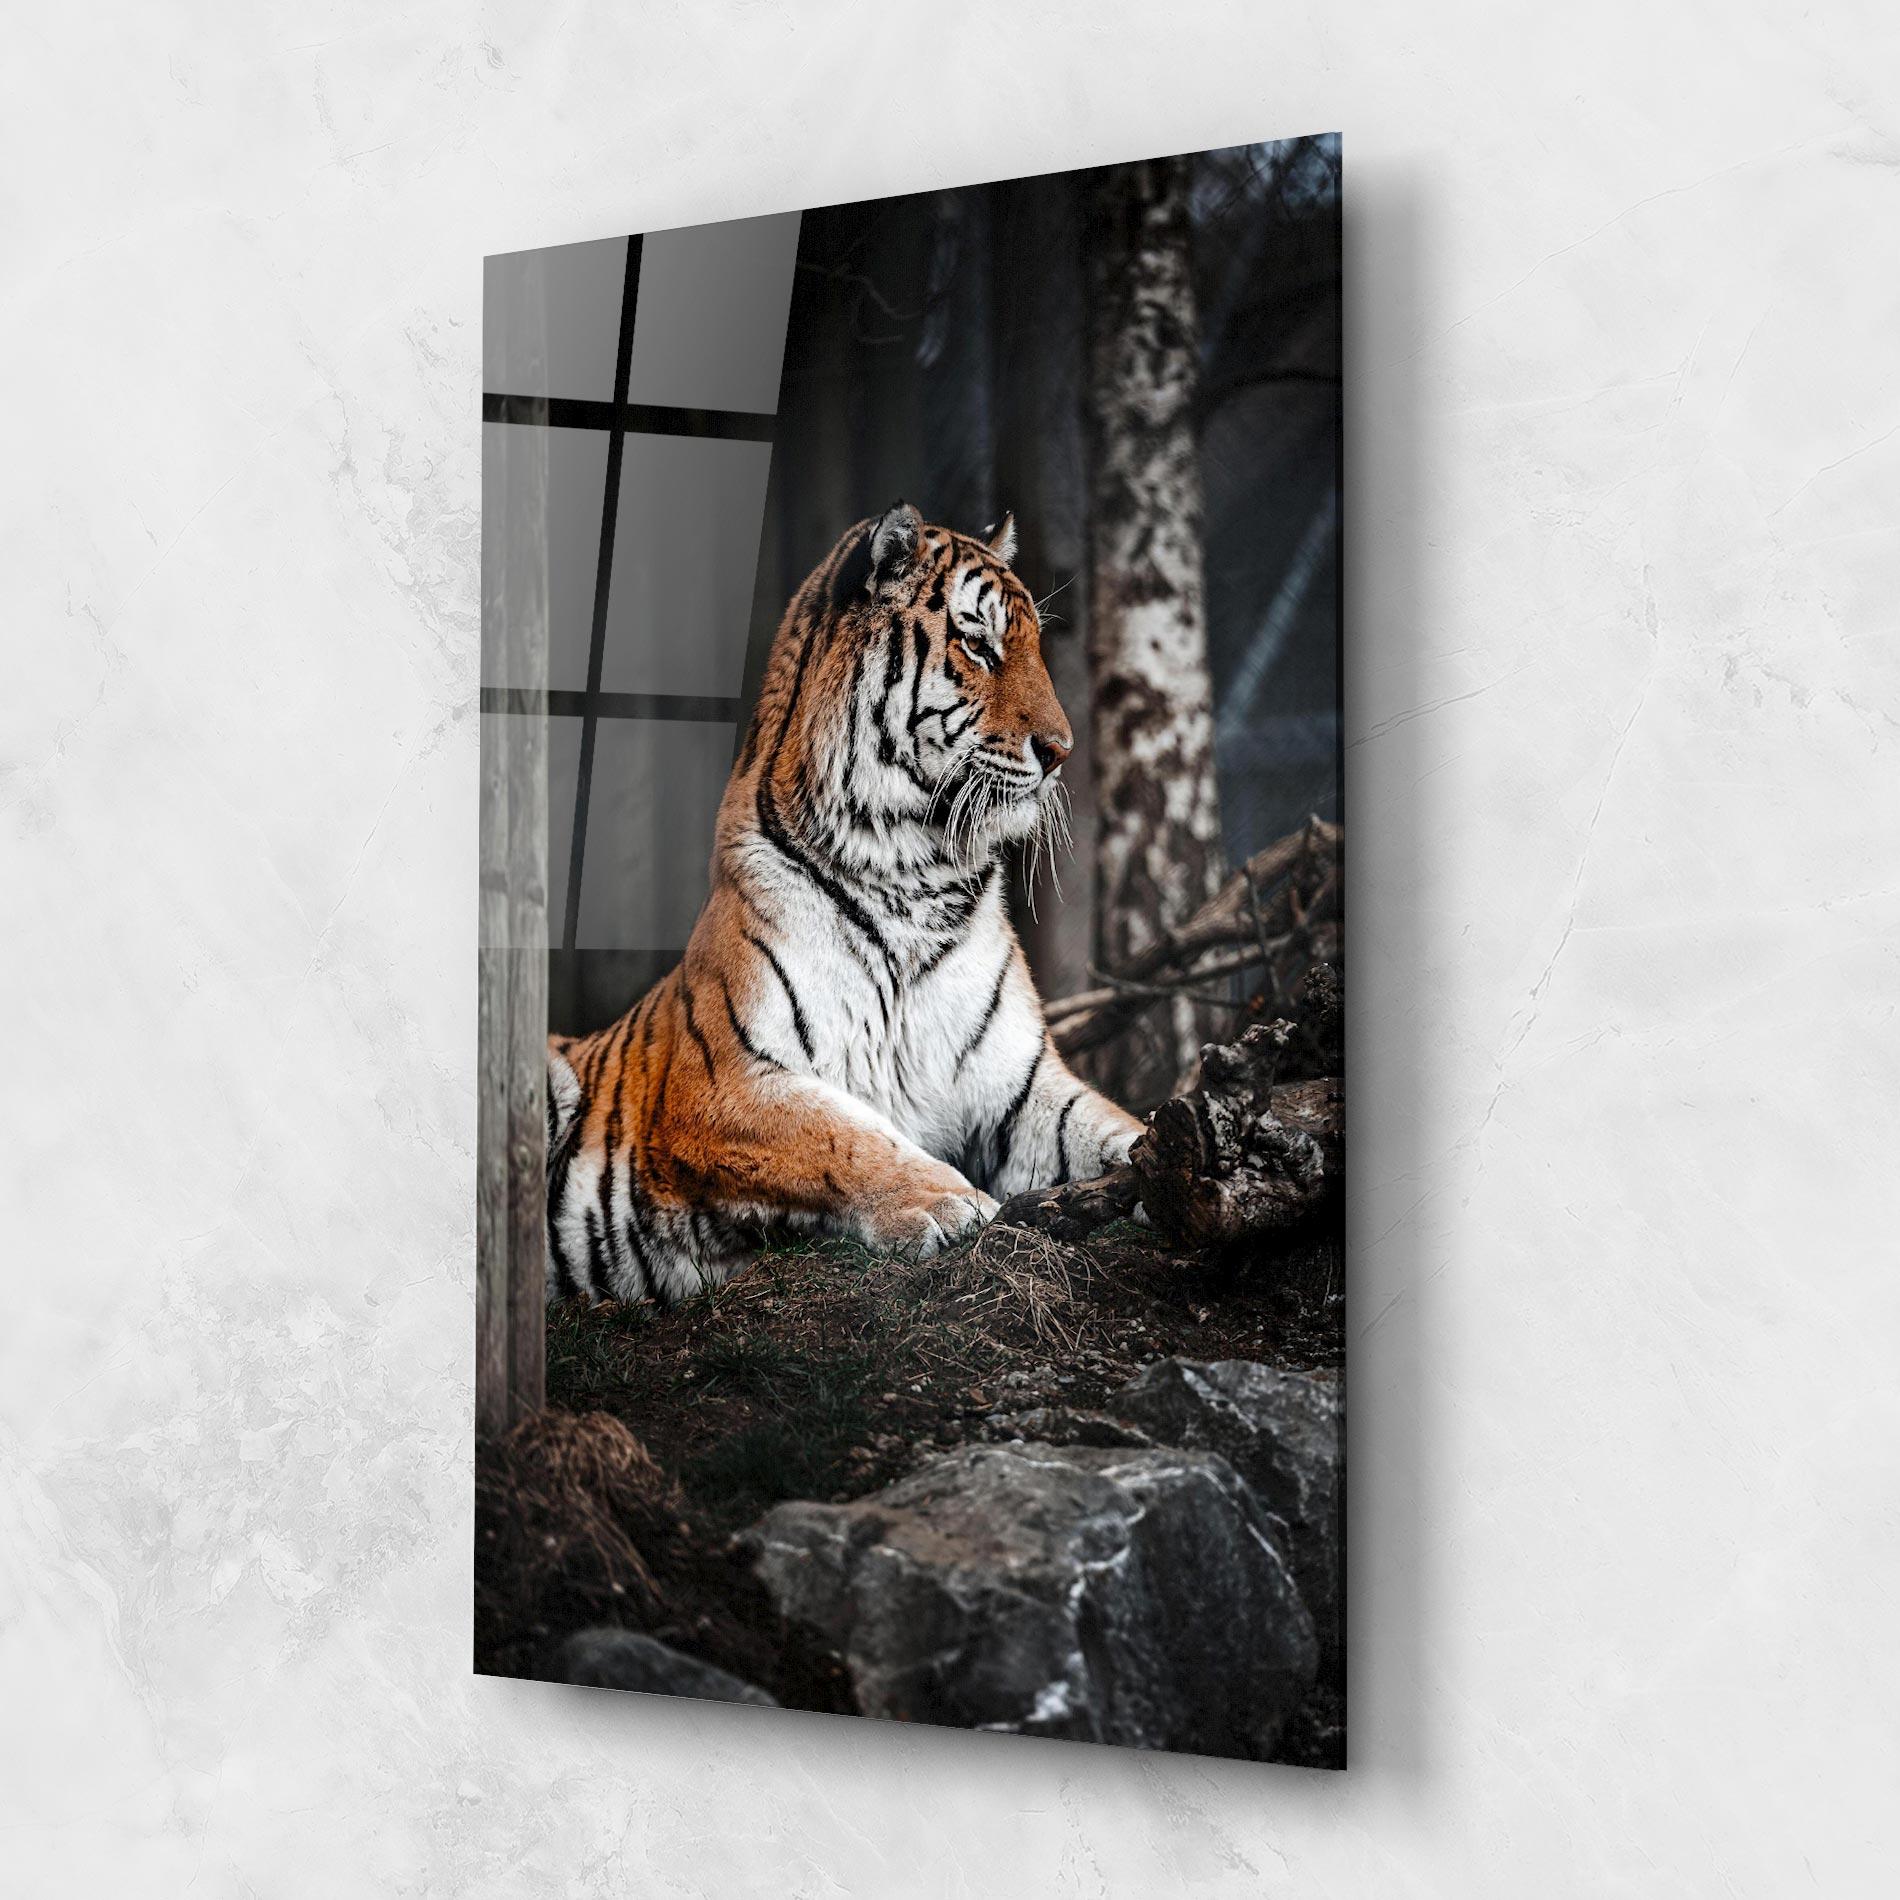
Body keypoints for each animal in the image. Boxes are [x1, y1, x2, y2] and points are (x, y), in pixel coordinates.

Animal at [543, 500, 1144, 1304]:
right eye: (978, 644)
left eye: (1036, 648)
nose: (1061, 751)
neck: (916, 873)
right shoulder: (723, 1082)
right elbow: (843, 1135)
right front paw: (949, 1203)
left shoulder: (1022, 1087)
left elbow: (1109, 1127)